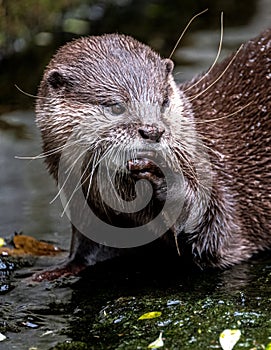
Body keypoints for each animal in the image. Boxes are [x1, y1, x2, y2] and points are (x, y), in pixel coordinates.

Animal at [34, 28, 271, 280]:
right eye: (116, 107)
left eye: (163, 101)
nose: (153, 130)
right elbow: (87, 244)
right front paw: (60, 269)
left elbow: (214, 231)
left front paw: (164, 176)